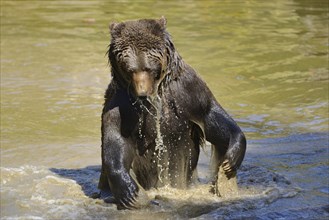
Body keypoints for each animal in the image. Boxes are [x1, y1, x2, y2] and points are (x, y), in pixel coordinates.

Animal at [98, 16, 246, 210]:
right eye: (130, 70)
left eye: (148, 68)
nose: (142, 92)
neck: (156, 92)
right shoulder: (122, 102)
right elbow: (118, 137)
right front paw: (129, 192)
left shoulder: (188, 90)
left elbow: (213, 119)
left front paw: (230, 160)